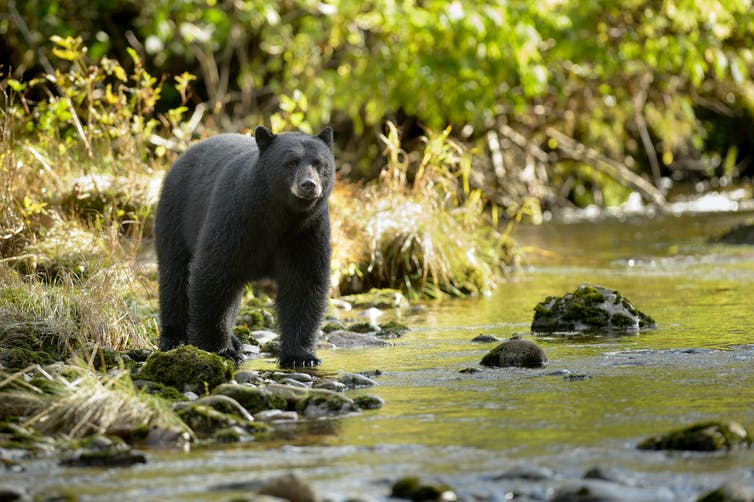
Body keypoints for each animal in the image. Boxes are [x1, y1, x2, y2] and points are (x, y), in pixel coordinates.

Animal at [154, 125, 334, 366]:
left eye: (318, 163)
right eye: (290, 162)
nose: (308, 185)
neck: (281, 216)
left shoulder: (307, 231)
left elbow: (304, 283)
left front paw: (301, 356)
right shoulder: (236, 219)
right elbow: (213, 273)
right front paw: (219, 349)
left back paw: (235, 340)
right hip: (176, 215)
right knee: (175, 275)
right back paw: (175, 337)